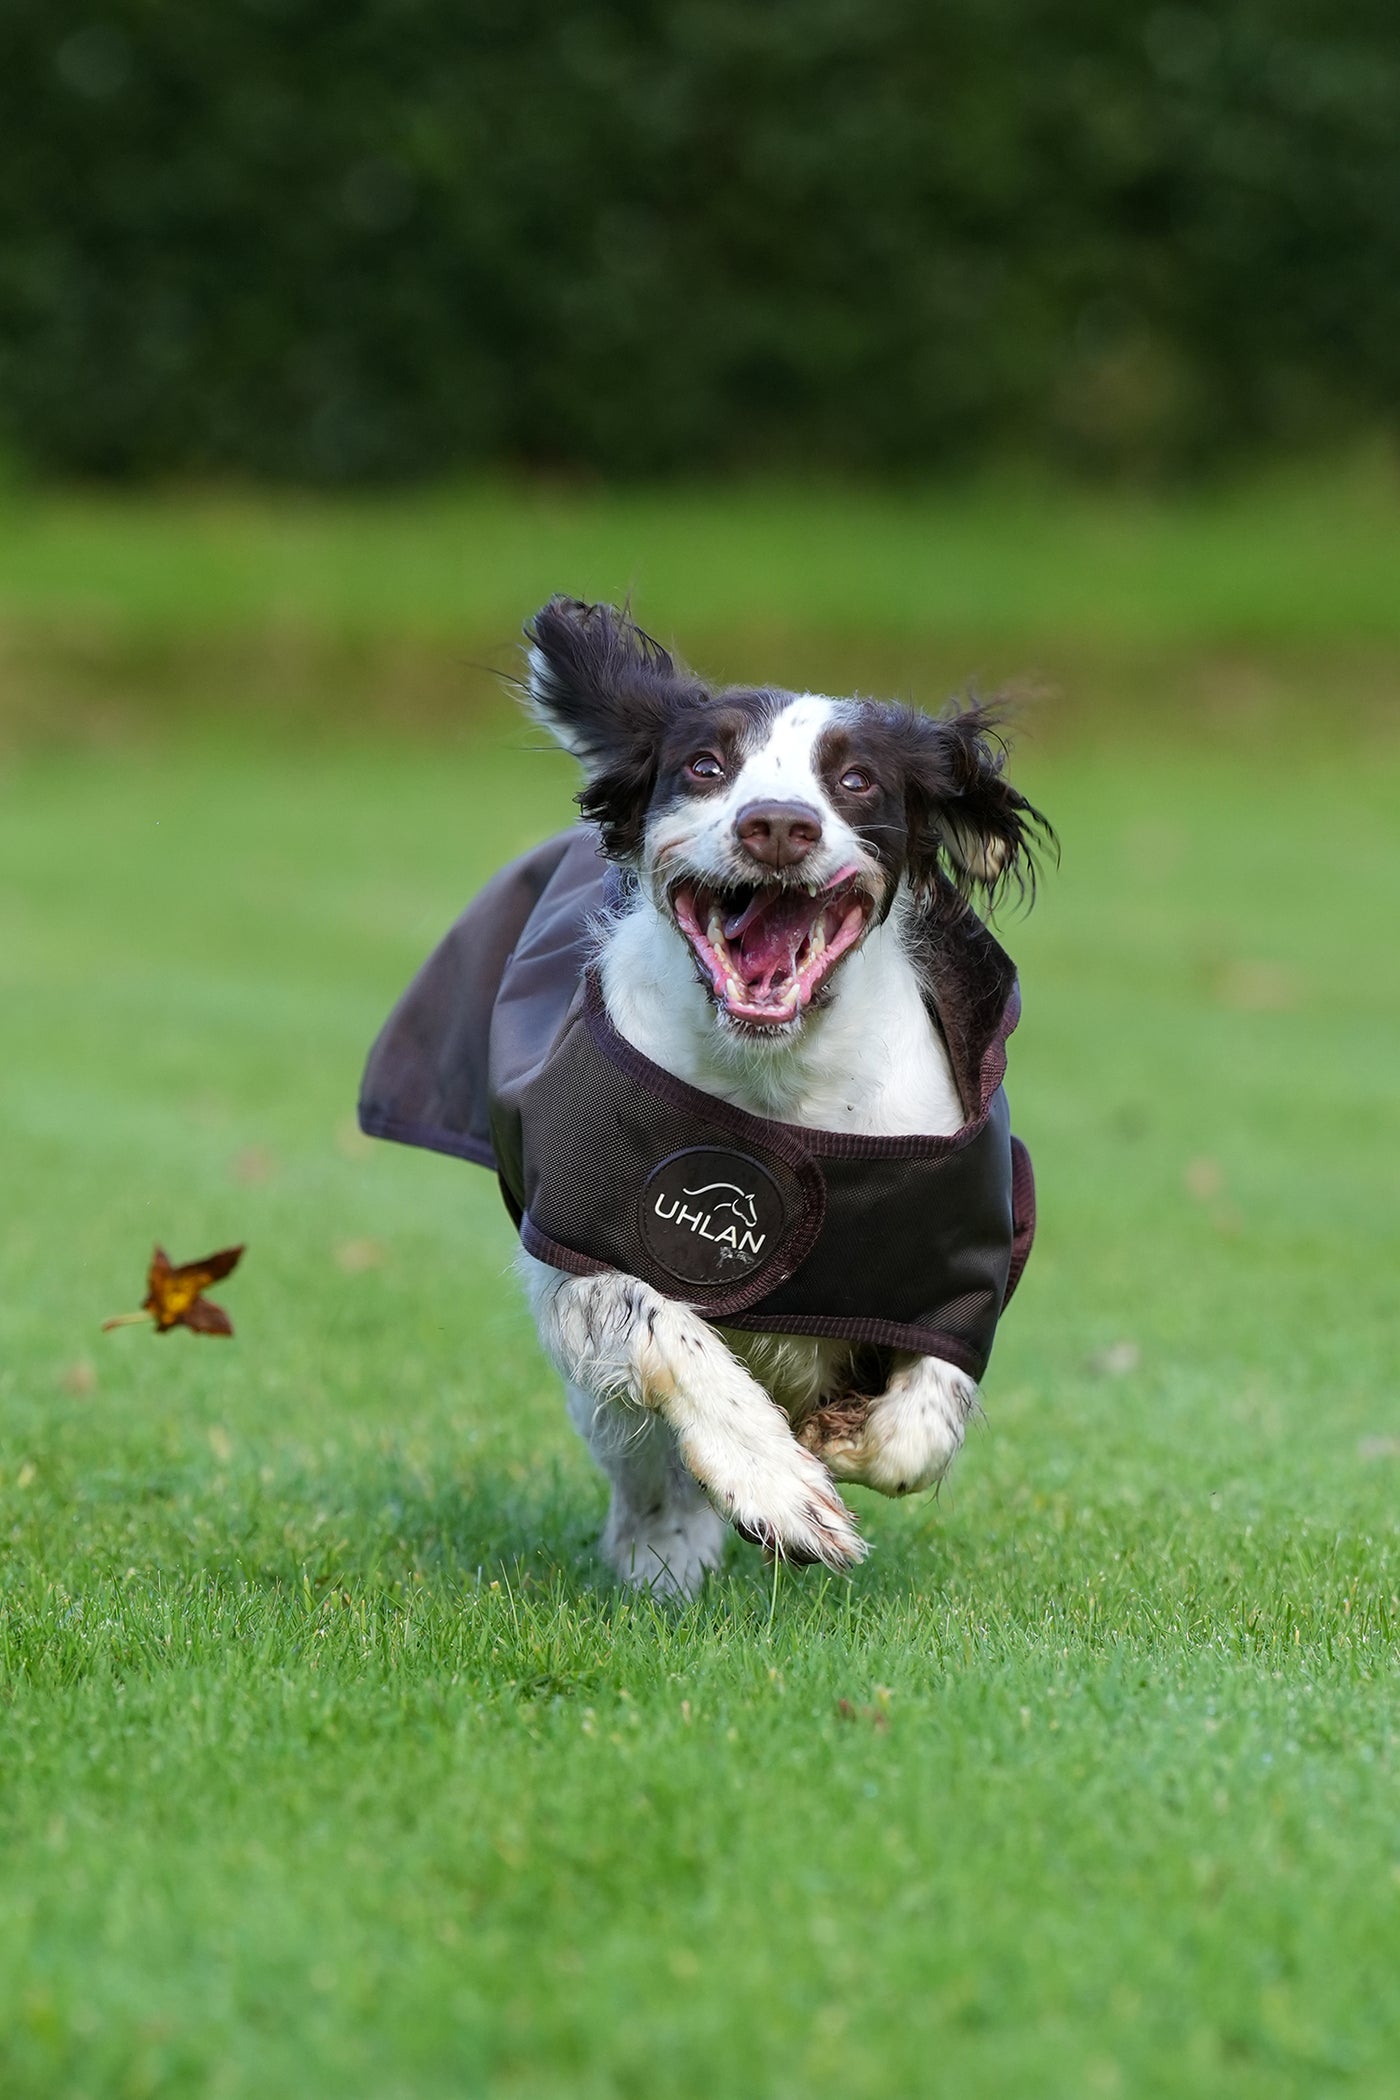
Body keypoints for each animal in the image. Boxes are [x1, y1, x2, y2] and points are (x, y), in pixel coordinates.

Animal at [505, 600, 1049, 1595]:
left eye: (857, 778)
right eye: (705, 765)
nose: (779, 825)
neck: (778, 1081)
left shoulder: (961, 1260)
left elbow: (926, 1412)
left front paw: (845, 1437)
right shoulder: (578, 1256)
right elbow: (661, 1325)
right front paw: (778, 1489)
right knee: (639, 1459)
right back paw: (665, 1554)